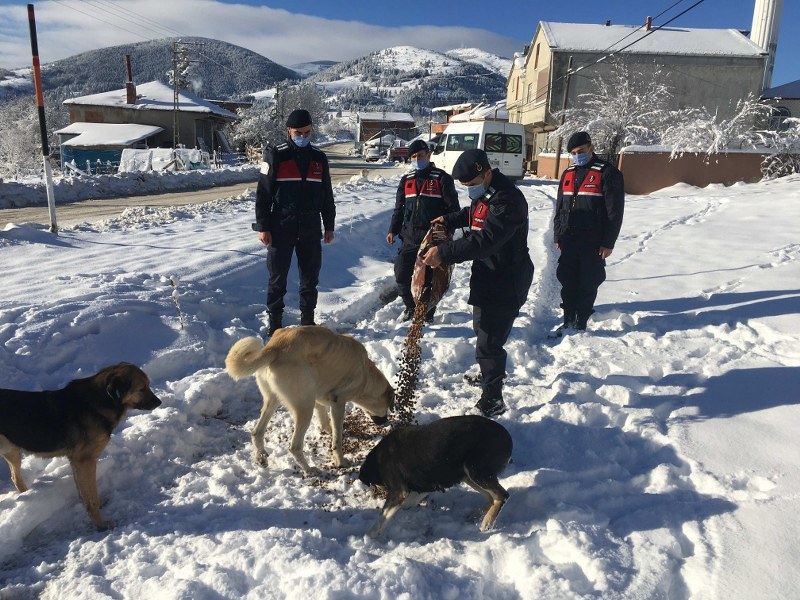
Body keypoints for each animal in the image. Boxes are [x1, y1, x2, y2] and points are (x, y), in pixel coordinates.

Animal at [0, 360, 161, 528]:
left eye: (148, 385)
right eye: (142, 388)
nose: (159, 402)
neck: (100, 401)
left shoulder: (76, 462)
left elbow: (83, 491)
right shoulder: (85, 461)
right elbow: (92, 498)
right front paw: (100, 525)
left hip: (12, 451)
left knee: (15, 477)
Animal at [225, 328, 394, 474]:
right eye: (387, 406)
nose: (385, 421)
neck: (366, 374)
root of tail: (274, 348)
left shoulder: (319, 398)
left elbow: (326, 420)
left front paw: (329, 430)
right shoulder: (338, 401)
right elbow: (337, 439)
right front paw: (340, 460)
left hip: (273, 400)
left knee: (257, 433)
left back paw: (261, 458)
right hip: (305, 408)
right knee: (294, 446)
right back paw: (309, 470)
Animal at [358, 414, 512, 536]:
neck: (378, 460)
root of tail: (507, 437)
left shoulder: (399, 491)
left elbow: (383, 516)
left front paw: (369, 537)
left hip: (475, 470)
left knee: (502, 495)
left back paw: (487, 522)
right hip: (467, 474)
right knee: (490, 497)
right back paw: (475, 516)